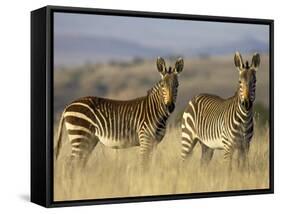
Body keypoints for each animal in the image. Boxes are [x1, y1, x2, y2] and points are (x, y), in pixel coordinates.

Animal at [55, 56, 184, 173]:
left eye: (177, 85)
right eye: (162, 86)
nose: (170, 106)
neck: (156, 111)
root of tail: (68, 106)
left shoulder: (155, 143)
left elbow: (150, 165)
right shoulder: (145, 140)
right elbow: (143, 165)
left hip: (88, 140)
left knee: (79, 164)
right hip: (80, 136)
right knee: (70, 165)